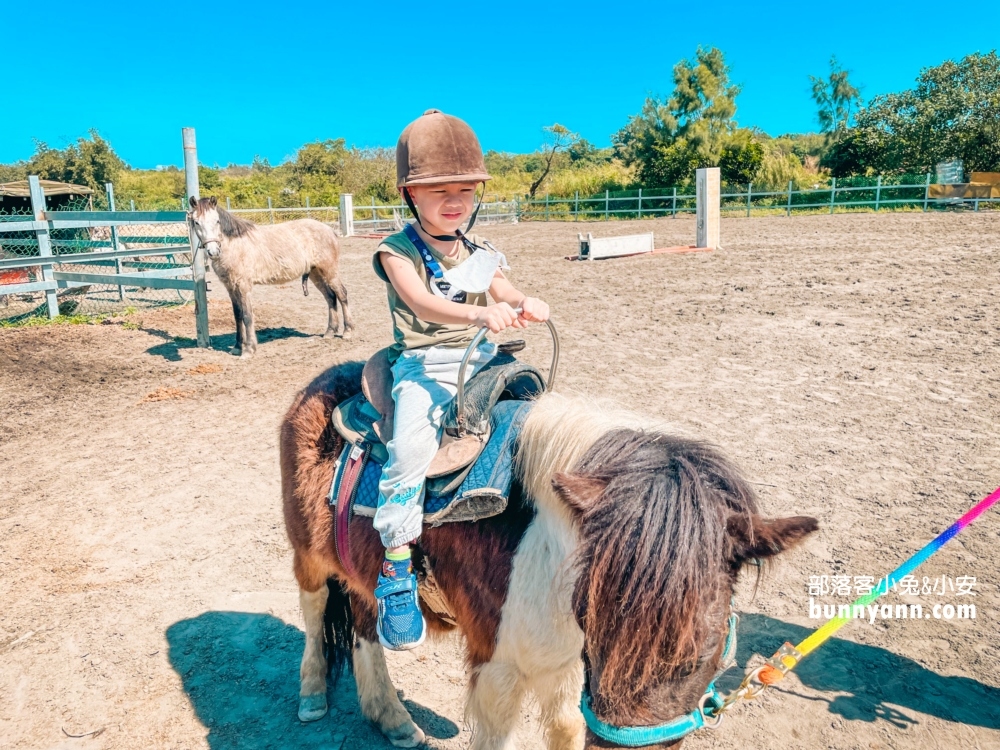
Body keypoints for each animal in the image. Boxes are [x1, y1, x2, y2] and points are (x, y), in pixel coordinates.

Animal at [187, 198, 352, 360]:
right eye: (196, 222)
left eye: (217, 221)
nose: (213, 251)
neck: (235, 246)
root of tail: (329, 230)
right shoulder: (230, 287)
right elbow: (237, 315)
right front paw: (237, 347)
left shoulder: (244, 286)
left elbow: (247, 316)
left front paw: (249, 350)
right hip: (315, 273)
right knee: (330, 297)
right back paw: (330, 332)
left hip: (329, 271)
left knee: (342, 294)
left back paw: (347, 331)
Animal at [278, 362, 816, 748]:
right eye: (598, 628)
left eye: (702, 654)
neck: (543, 550)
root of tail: (330, 378)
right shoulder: (498, 670)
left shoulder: (564, 669)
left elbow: (566, 729)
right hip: (309, 557)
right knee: (315, 609)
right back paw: (311, 694)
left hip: (364, 575)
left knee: (366, 626)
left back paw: (391, 719)